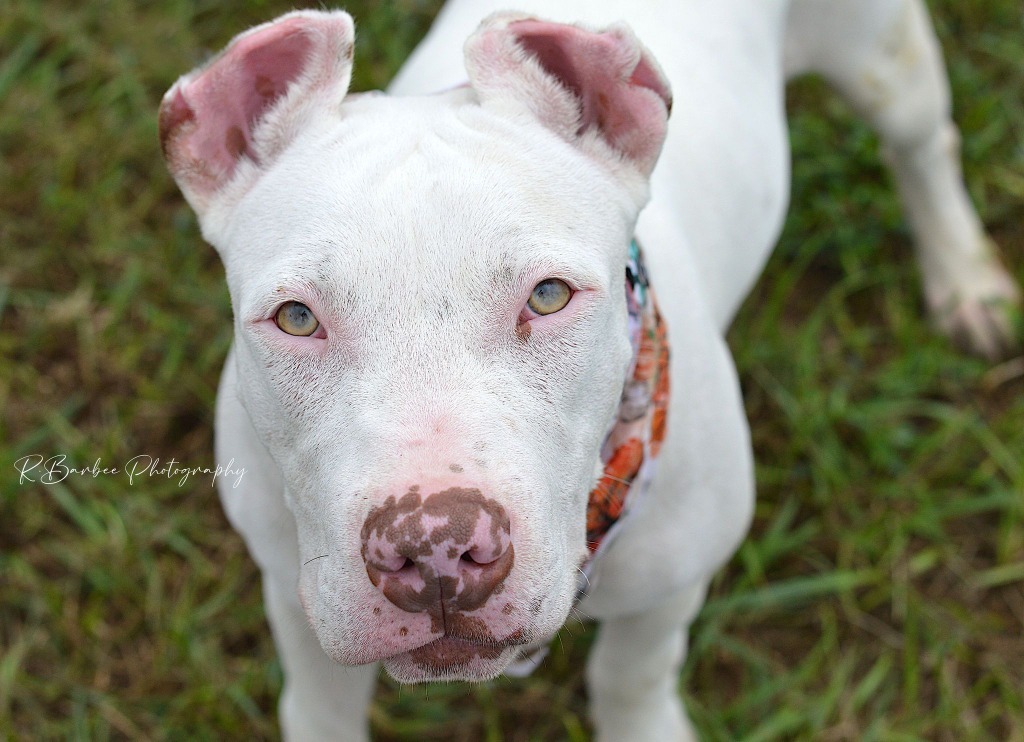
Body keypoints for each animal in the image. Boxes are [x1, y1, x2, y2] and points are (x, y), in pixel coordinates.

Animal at [157, 2, 1015, 736]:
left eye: (548, 296)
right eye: (297, 318)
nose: (434, 550)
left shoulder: (671, 583)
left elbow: (629, 676)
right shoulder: (295, 584)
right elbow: (319, 704)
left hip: (881, 58)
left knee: (923, 141)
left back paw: (965, 280)